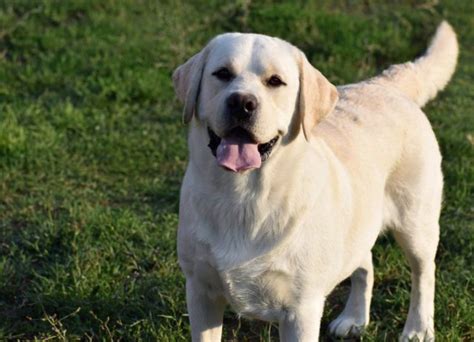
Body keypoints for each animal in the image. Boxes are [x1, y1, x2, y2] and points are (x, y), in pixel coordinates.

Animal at [172, 20, 458, 340]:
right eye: (222, 74)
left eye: (275, 81)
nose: (242, 102)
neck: (243, 197)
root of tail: (382, 83)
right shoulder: (200, 291)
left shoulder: (301, 309)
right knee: (365, 263)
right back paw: (354, 317)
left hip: (416, 224)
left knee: (424, 274)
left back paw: (418, 328)